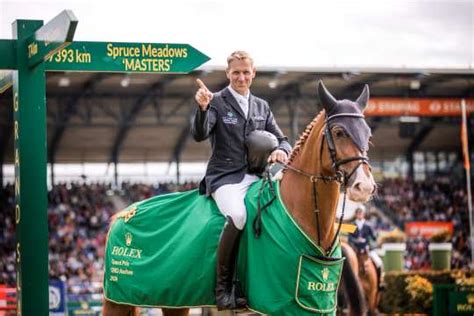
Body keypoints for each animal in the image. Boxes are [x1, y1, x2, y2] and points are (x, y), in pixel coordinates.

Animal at [102, 80, 376, 314]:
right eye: (339, 132)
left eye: (368, 133)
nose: (364, 186)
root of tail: (124, 213)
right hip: (116, 301)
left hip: (174, 301)